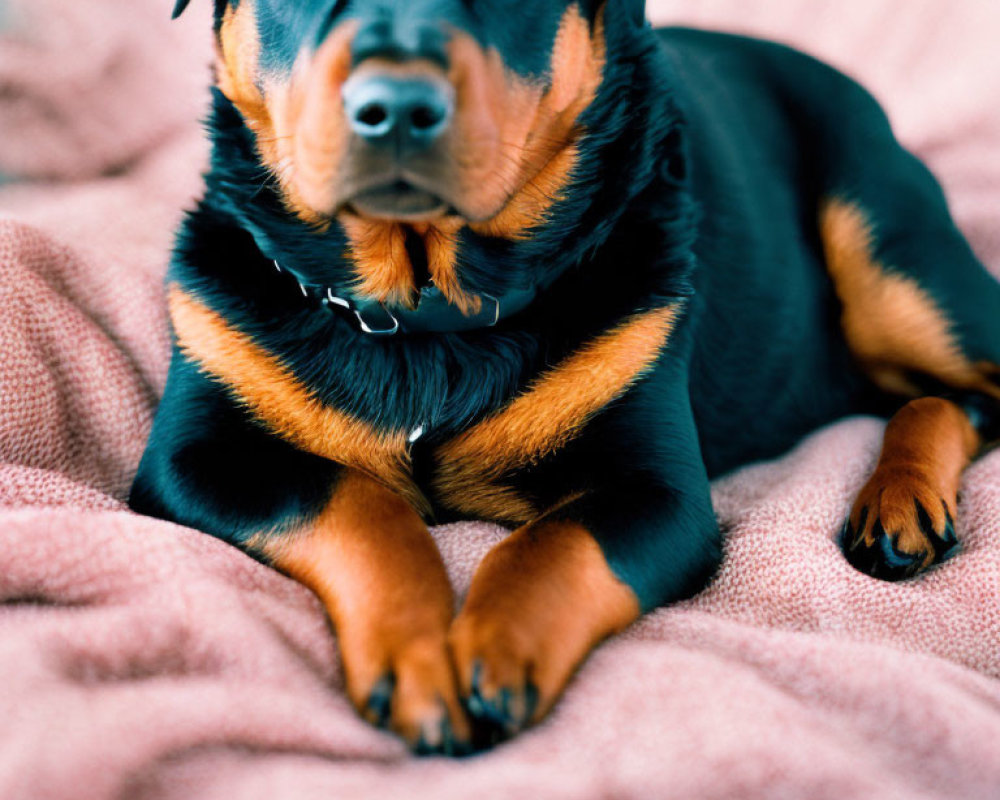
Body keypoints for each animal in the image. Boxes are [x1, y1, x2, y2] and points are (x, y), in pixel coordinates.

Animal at [131, 0, 1000, 752]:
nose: (398, 106)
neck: (425, 313)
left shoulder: (657, 490)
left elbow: (552, 545)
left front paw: (492, 652)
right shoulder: (196, 453)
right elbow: (356, 500)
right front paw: (420, 654)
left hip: (882, 246)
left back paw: (901, 501)